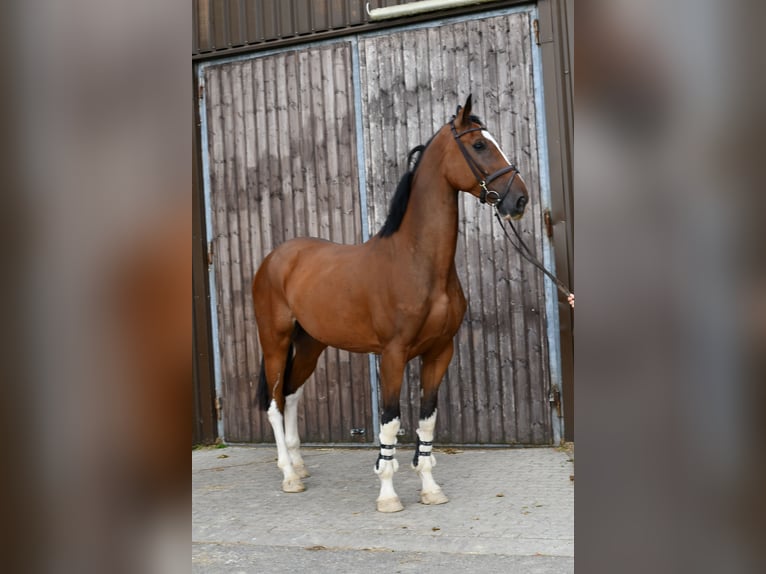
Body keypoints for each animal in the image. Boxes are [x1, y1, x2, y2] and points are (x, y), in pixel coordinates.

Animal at [252, 94, 529, 512]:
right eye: (480, 144)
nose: (519, 199)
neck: (416, 262)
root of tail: (275, 258)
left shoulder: (439, 352)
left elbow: (426, 421)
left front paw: (430, 489)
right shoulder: (393, 355)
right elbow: (390, 422)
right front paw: (388, 496)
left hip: (311, 345)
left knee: (291, 395)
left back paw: (300, 466)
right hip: (276, 342)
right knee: (273, 403)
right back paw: (289, 476)